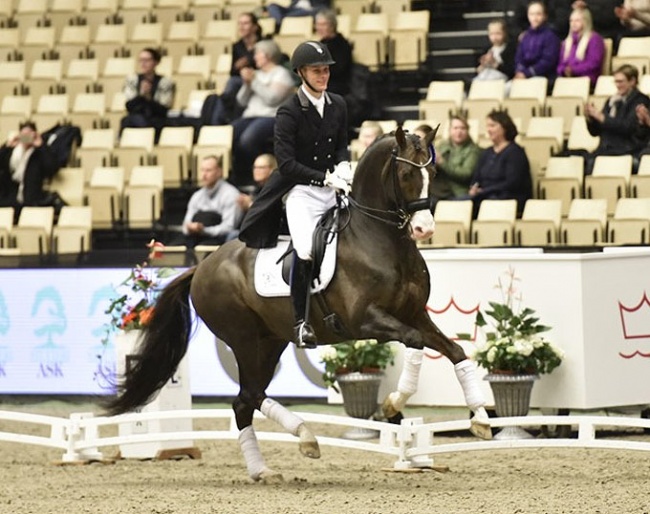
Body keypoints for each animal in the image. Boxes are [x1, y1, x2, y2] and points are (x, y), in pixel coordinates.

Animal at [109, 125, 488, 480]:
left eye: (433, 173)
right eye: (407, 174)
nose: (425, 229)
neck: (380, 239)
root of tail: (201, 266)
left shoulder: (414, 314)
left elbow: (453, 351)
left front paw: (481, 418)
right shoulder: (366, 320)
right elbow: (414, 340)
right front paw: (394, 404)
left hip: (271, 341)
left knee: (245, 400)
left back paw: (267, 466)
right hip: (244, 339)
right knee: (249, 395)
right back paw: (304, 438)